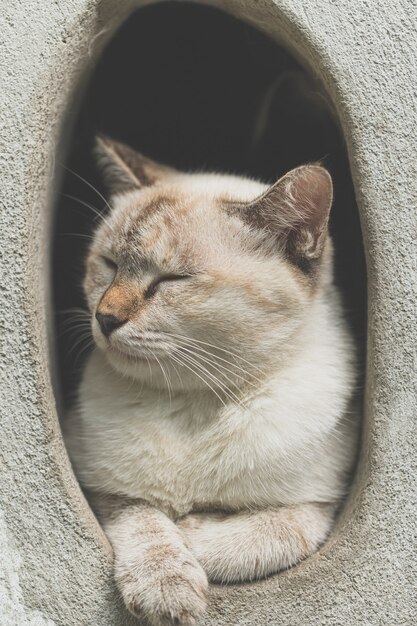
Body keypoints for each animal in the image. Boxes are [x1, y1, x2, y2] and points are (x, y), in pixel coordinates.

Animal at [64, 135, 358, 624]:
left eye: (171, 280)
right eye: (108, 264)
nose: (105, 318)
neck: (194, 402)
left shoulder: (320, 504)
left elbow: (260, 537)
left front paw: (194, 529)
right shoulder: (101, 486)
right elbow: (147, 522)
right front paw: (167, 588)